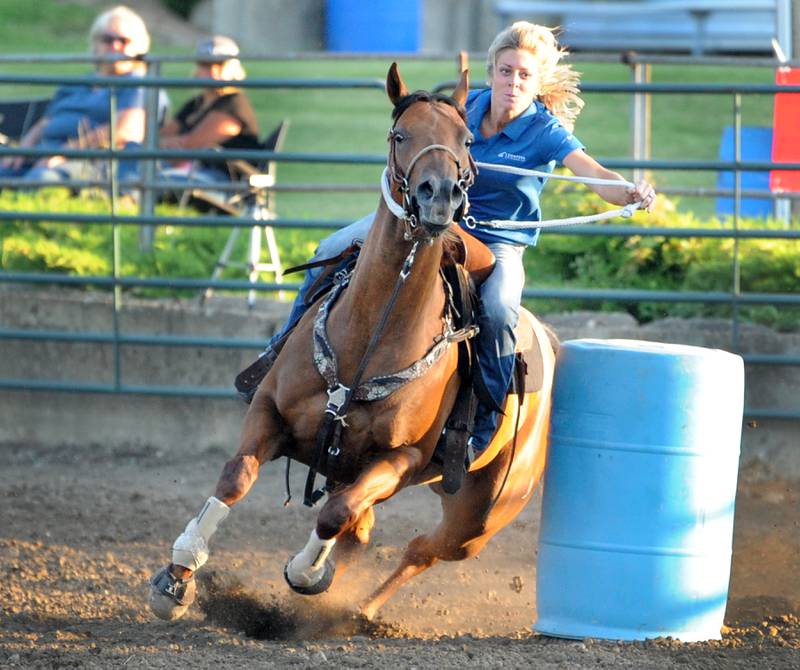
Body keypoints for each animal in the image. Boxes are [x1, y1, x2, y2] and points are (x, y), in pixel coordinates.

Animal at [147, 63, 552, 624]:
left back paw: (360, 610)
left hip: (481, 515)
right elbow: (235, 478)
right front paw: (176, 579)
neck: (368, 337)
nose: (439, 195)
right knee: (369, 531)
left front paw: (306, 572)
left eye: (465, 140)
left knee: (421, 548)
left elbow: (334, 515)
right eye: (399, 135)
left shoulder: (401, 459)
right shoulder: (270, 412)